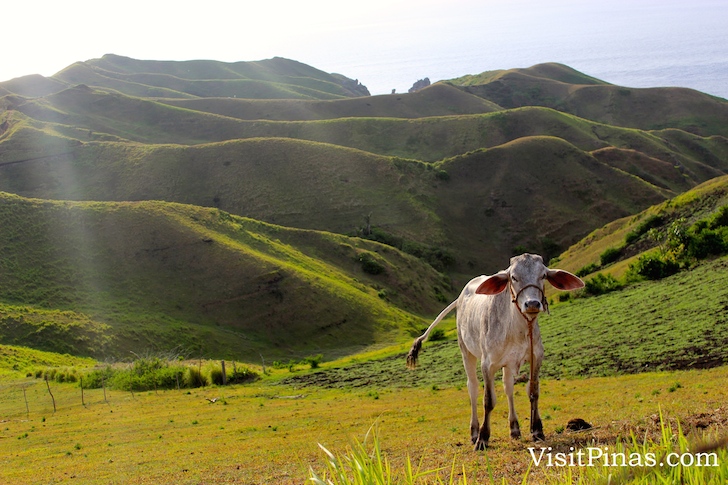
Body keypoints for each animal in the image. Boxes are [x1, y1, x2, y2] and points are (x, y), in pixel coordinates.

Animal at [406, 253, 584, 450]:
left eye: (543, 275)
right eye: (513, 277)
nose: (532, 303)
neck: (517, 329)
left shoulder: (536, 358)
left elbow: (533, 392)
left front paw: (537, 430)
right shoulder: (487, 364)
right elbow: (489, 400)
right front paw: (483, 437)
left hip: (506, 363)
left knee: (508, 387)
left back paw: (514, 429)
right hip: (466, 351)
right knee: (473, 388)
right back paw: (474, 432)